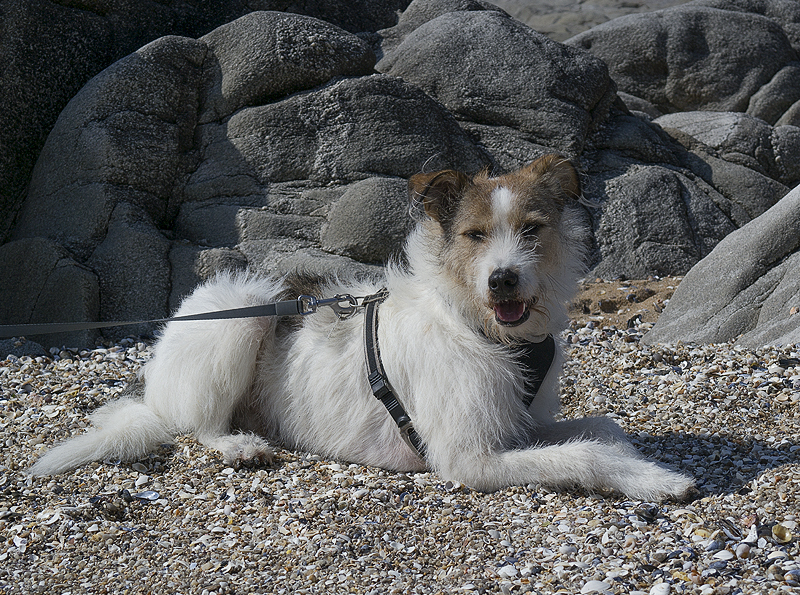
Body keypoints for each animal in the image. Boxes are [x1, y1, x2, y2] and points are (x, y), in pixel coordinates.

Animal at [29, 155, 692, 502]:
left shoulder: (522, 425)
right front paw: (656, 479)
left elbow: (601, 428)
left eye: (532, 228)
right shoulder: (467, 458)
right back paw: (237, 445)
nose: (503, 280)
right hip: (243, 305)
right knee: (195, 425)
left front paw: (641, 461)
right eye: (475, 235)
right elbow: (585, 452)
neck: (474, 323)